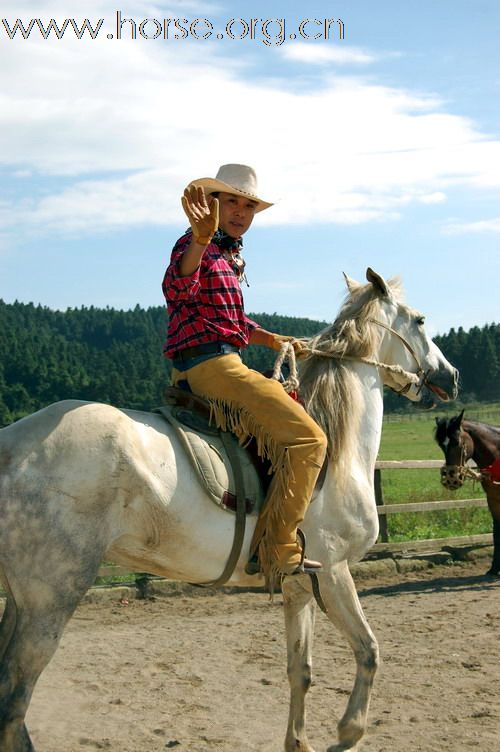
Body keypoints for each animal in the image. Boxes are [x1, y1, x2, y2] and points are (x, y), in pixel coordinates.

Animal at [0, 270, 458, 752]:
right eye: (420, 320)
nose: (452, 376)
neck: (337, 449)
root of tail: (11, 443)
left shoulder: (299, 584)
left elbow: (301, 671)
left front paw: (299, 741)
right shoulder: (333, 571)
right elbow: (369, 651)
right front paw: (346, 733)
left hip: (20, 598)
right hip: (50, 599)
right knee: (13, 697)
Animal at [434, 412, 500, 576]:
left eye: (457, 442)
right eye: (441, 445)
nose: (451, 478)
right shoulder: (493, 499)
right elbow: (496, 532)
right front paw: (494, 569)